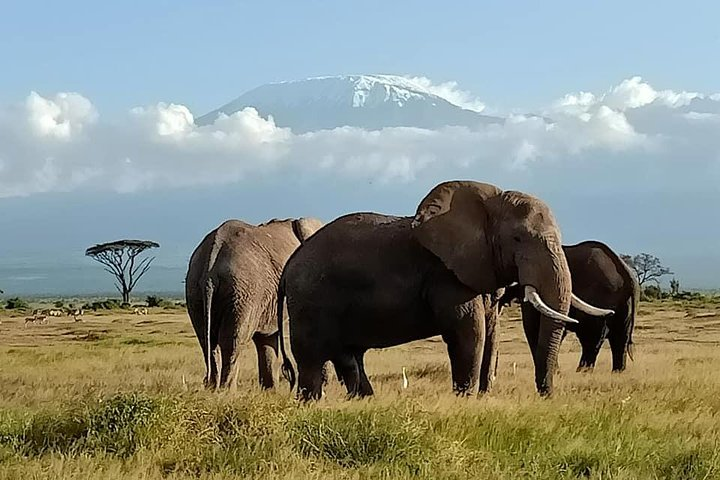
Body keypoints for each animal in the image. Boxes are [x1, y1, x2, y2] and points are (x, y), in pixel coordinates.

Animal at [185, 217, 323, 390]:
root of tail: (211, 266)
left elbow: (266, 341)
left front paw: (270, 392)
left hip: (196, 290)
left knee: (208, 341)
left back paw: (212, 388)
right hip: (244, 291)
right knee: (233, 342)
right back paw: (226, 391)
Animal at [276, 181, 612, 400]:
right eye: (517, 239)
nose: (546, 395)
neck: (490, 202)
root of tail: (290, 263)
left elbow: (489, 330)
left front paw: (481, 397)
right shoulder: (446, 274)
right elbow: (468, 330)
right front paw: (465, 399)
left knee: (348, 355)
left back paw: (364, 400)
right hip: (310, 300)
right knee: (312, 358)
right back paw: (312, 402)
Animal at [500, 240, 639, 372]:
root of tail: (628, 275)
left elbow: (533, 327)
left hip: (601, 295)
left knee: (592, 337)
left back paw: (582, 372)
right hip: (624, 303)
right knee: (620, 338)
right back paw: (616, 372)